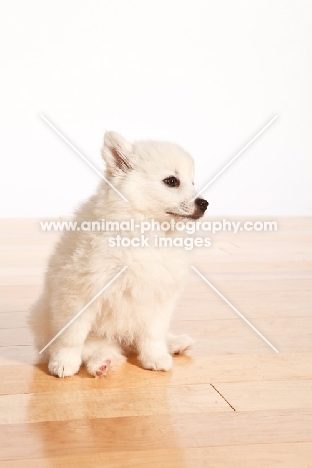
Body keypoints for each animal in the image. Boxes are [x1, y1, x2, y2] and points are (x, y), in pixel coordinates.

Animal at [29, 131, 208, 376]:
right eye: (171, 181)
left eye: (192, 182)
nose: (204, 203)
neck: (147, 230)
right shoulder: (81, 292)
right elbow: (72, 336)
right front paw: (64, 362)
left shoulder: (159, 295)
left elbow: (153, 334)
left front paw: (155, 357)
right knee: (96, 348)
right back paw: (102, 363)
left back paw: (175, 343)